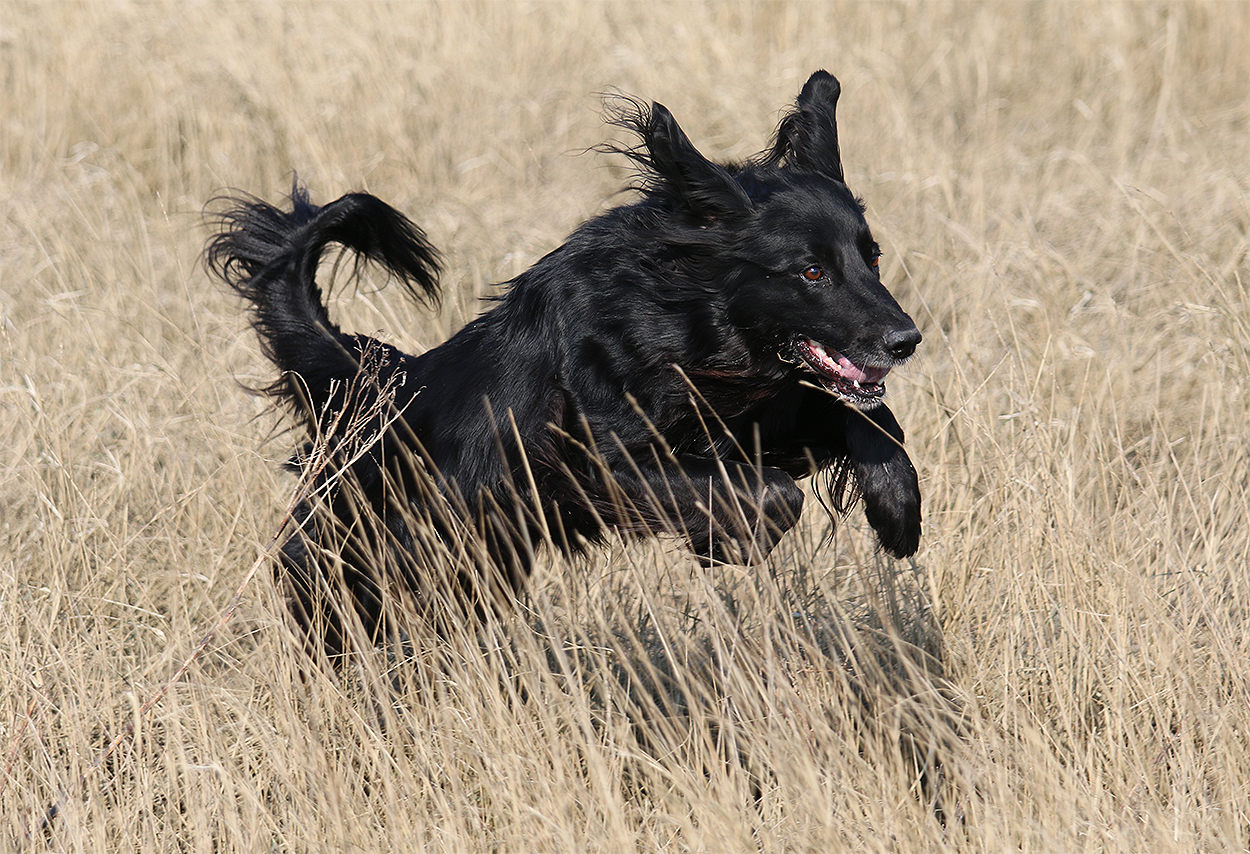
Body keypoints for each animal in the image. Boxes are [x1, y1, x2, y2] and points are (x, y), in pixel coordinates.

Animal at [207, 71, 922, 659]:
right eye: (811, 271)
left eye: (872, 257)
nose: (906, 339)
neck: (679, 318)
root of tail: (378, 379)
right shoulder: (593, 462)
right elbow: (774, 491)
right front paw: (733, 542)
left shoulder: (758, 415)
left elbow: (871, 420)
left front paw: (897, 509)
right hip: (363, 561)